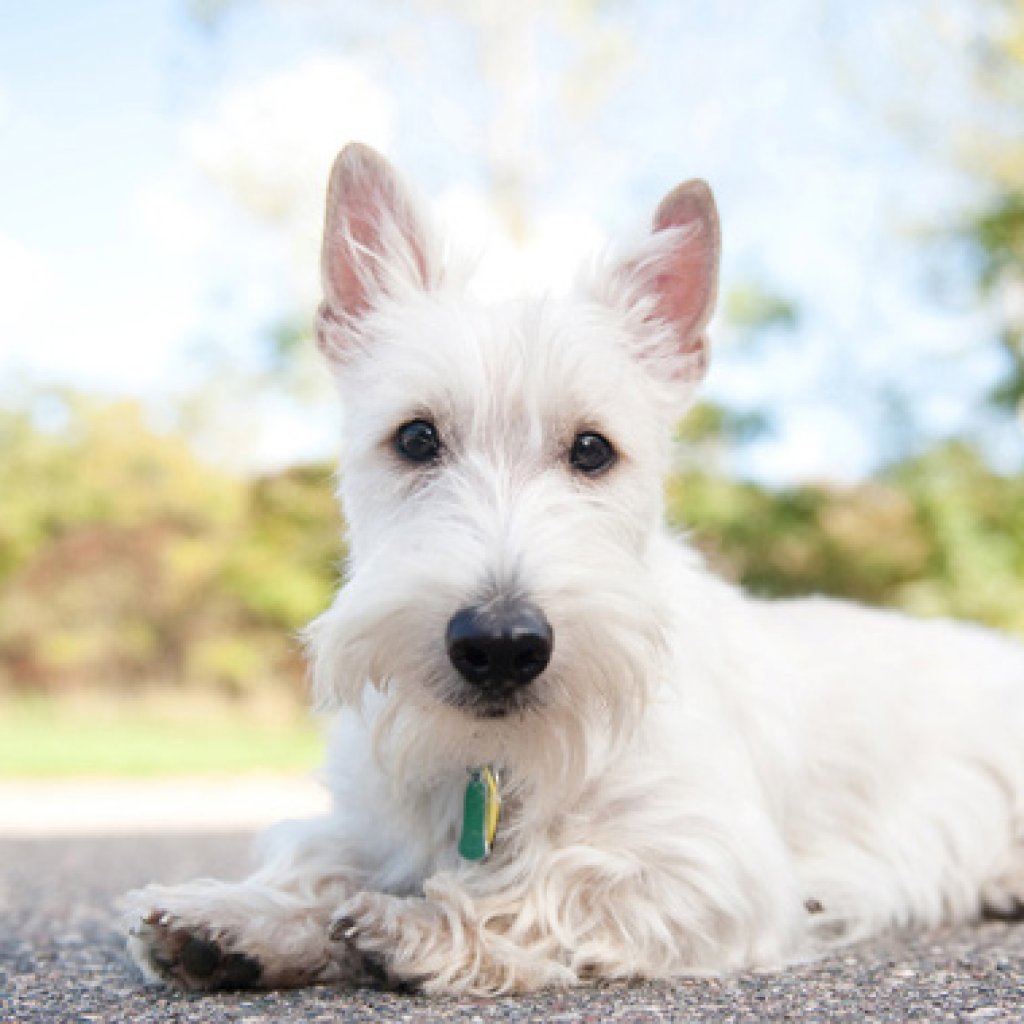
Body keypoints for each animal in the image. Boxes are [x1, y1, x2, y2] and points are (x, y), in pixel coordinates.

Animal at [123, 142, 1024, 991]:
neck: (496, 763)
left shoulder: (708, 863)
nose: (499, 646)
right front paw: (240, 919)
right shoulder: (371, 817)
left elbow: (553, 881)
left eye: (592, 450)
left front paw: (418, 925)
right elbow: (322, 860)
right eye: (415, 437)